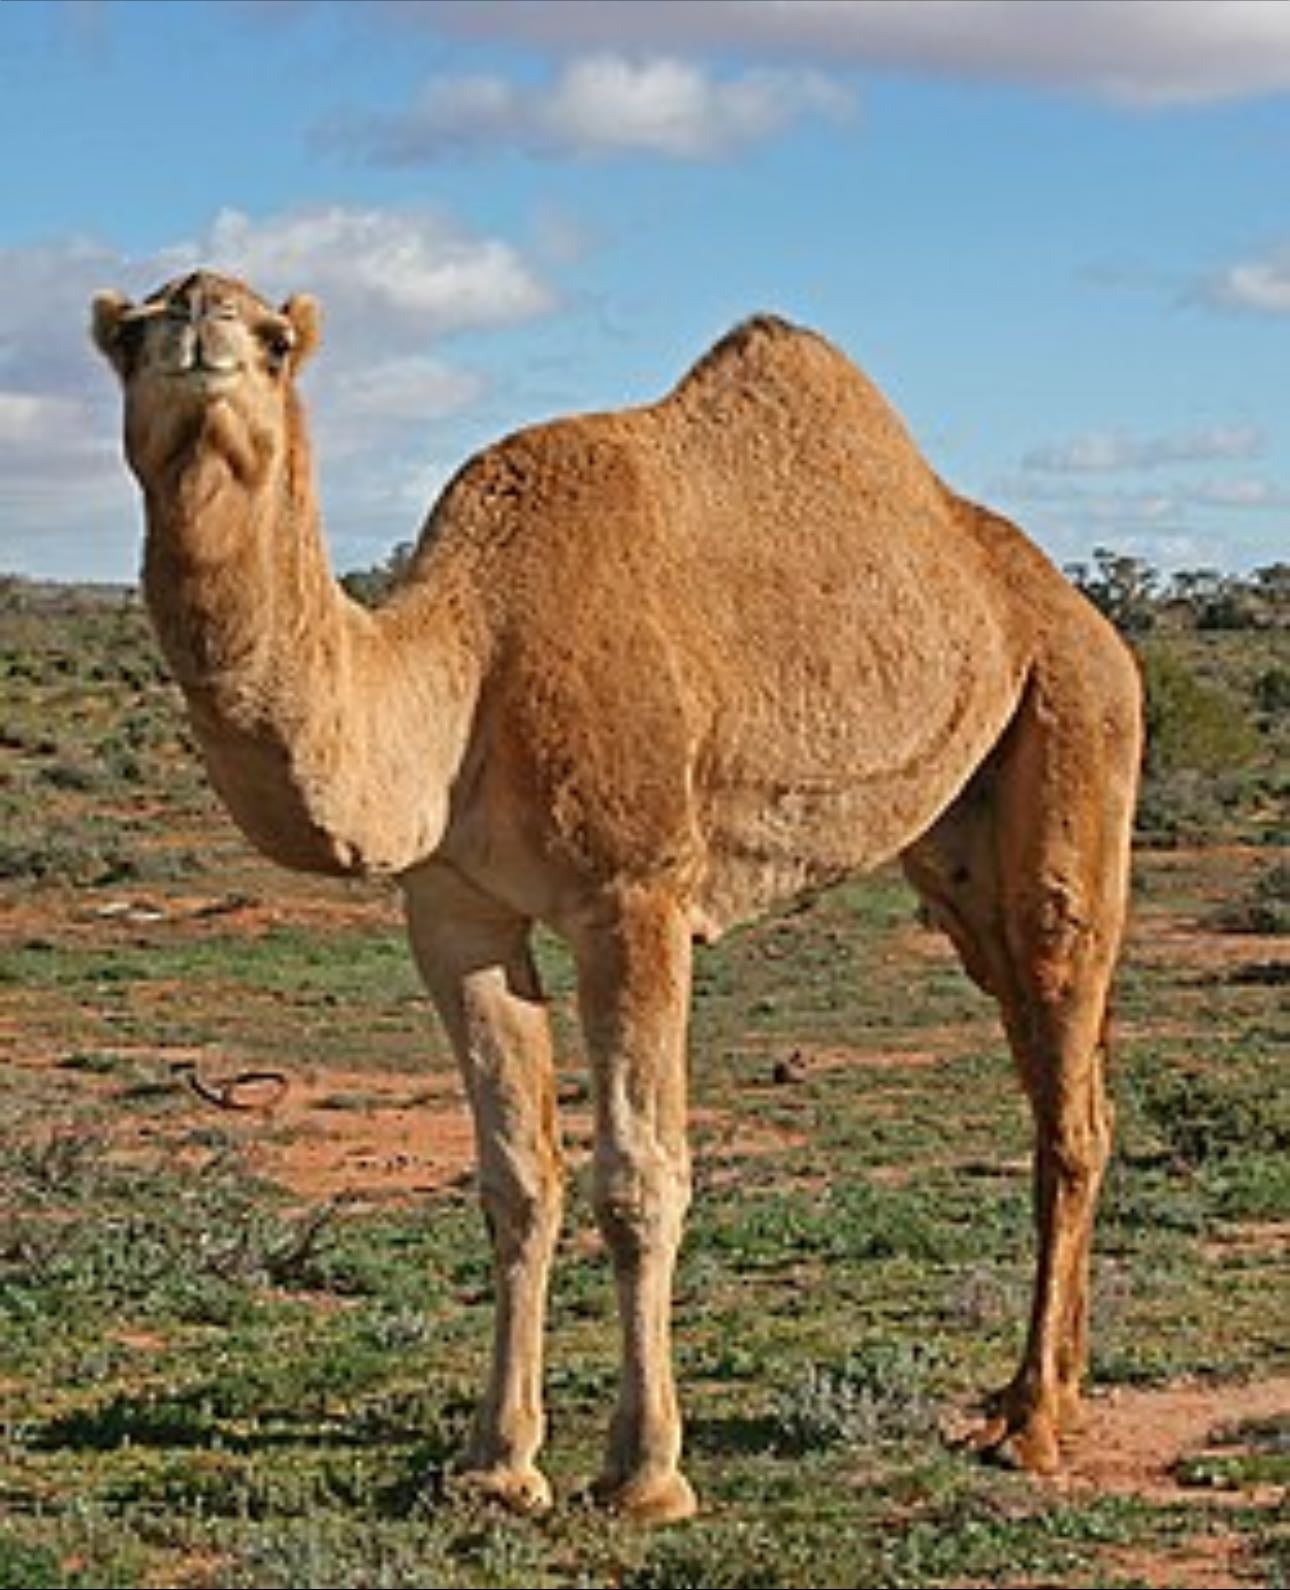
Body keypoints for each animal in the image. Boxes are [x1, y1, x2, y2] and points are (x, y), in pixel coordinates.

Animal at [91, 270, 1141, 1524]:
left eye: (275, 340)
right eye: (131, 335)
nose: (202, 325)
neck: (466, 669)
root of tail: (1077, 611)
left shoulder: (635, 895)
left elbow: (641, 1179)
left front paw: (645, 1473)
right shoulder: (454, 913)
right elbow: (515, 1177)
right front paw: (496, 1466)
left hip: (1077, 727)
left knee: (1069, 1078)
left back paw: (1033, 1425)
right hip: (960, 844)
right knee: (1051, 1070)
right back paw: (1040, 1393)